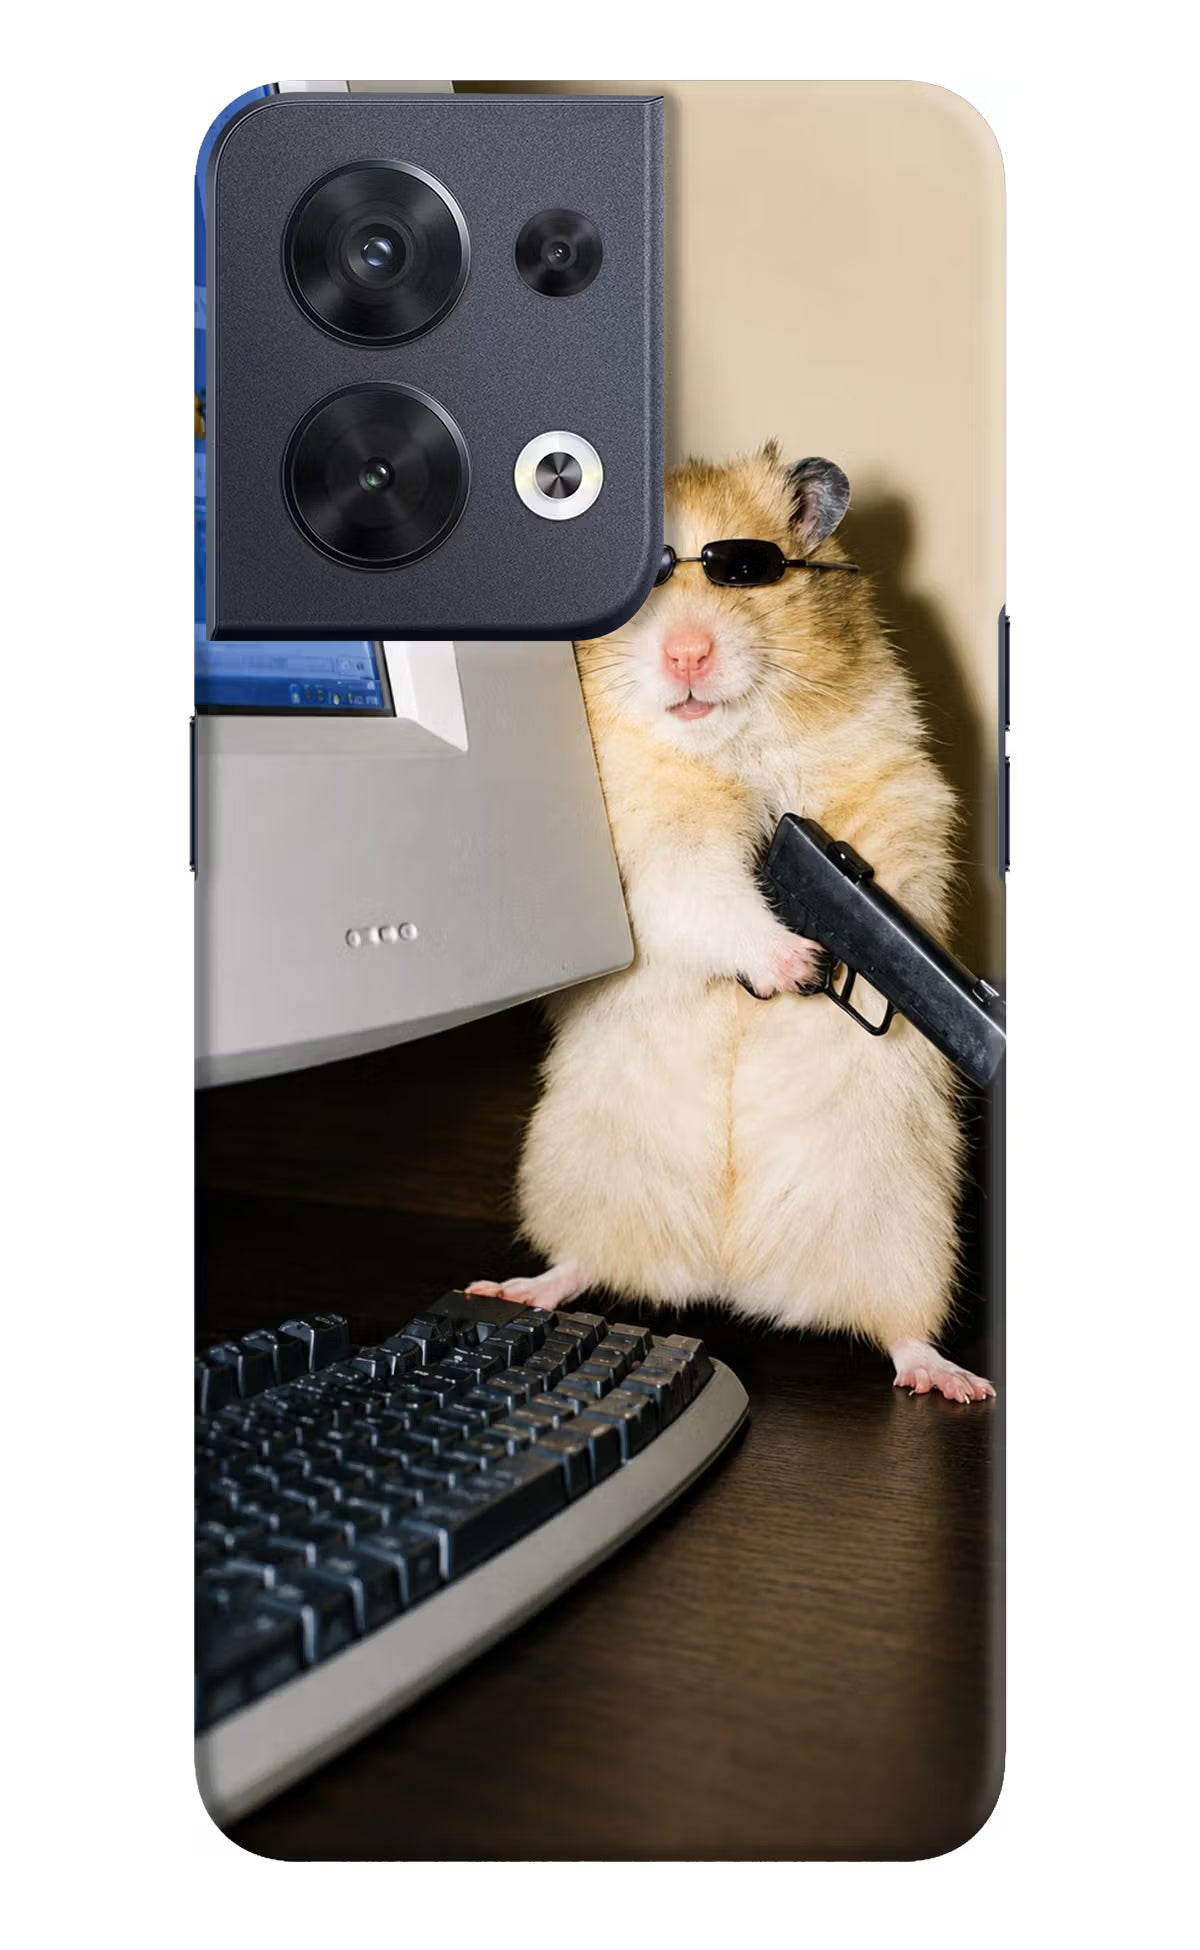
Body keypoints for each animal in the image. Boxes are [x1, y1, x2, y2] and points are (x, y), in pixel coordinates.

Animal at [469, 445, 993, 1403]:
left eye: (745, 571)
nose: (687, 653)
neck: (726, 746)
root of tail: (730, 1276)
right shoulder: (650, 853)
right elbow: (708, 895)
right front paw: (797, 964)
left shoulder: (893, 789)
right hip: (578, 1176)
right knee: (582, 1263)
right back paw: (514, 1288)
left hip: (909, 1229)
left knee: (900, 1329)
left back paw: (953, 1381)